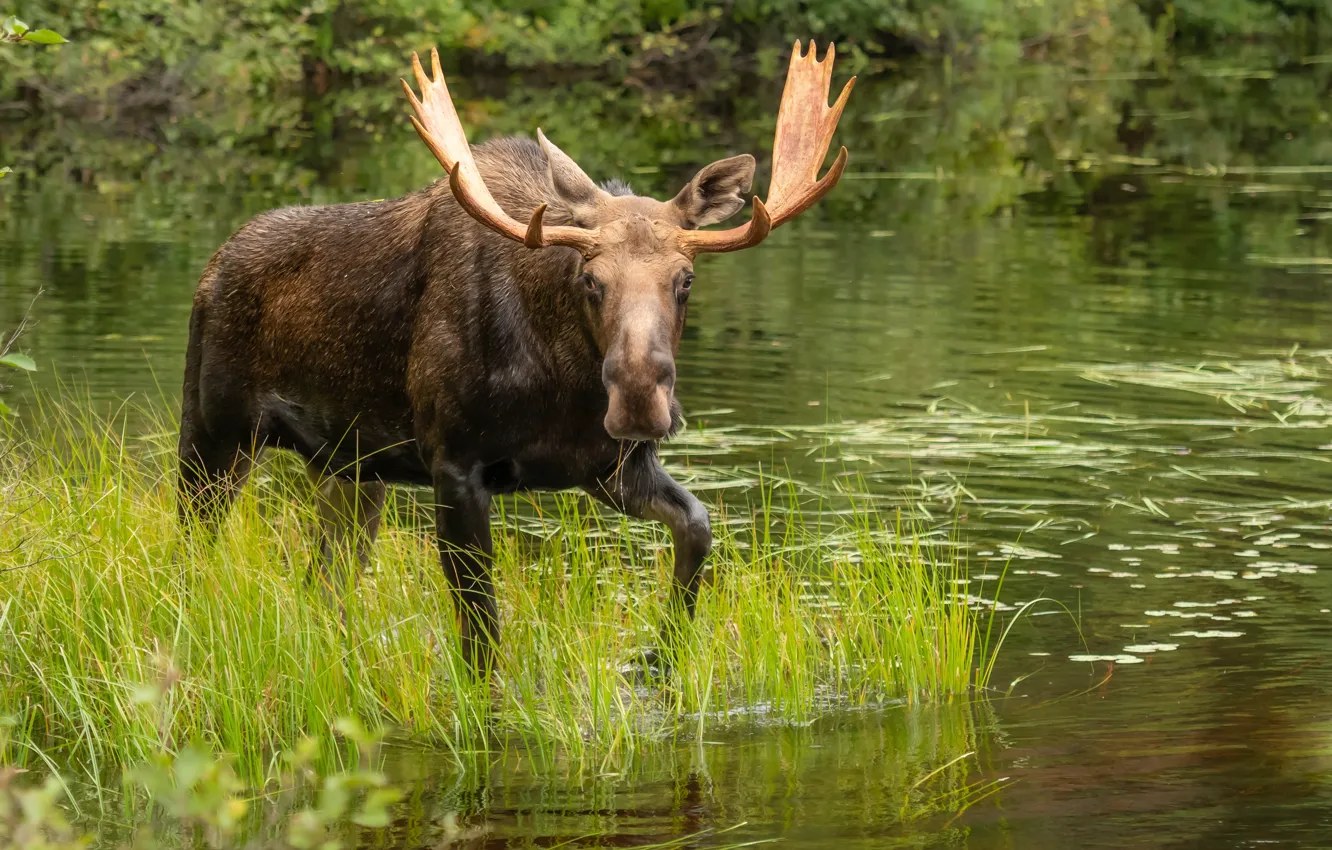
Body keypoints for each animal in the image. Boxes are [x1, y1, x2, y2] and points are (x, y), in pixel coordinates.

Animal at [176, 40, 854, 674]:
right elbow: (482, 635)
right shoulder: (454, 464)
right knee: (189, 547)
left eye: (684, 279)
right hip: (216, 430)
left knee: (325, 581)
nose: (640, 400)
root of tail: (210, 270)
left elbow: (698, 528)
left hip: (353, 467)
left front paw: (658, 659)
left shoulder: (608, 467)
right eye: (591, 279)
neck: (562, 384)